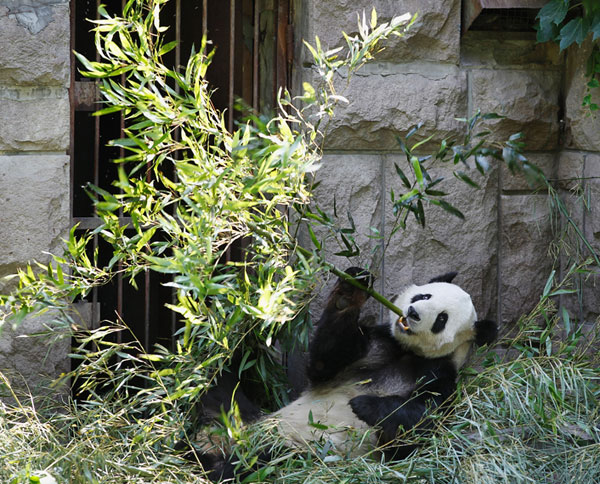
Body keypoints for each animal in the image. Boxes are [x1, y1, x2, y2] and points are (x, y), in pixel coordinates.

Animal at [197, 268, 496, 480]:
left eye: (442, 319)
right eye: (424, 296)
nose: (412, 313)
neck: (408, 353)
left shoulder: (439, 375)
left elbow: (420, 424)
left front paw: (365, 405)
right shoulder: (378, 345)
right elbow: (326, 360)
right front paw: (349, 293)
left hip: (292, 451)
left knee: (257, 462)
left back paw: (216, 464)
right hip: (240, 416)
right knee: (217, 392)